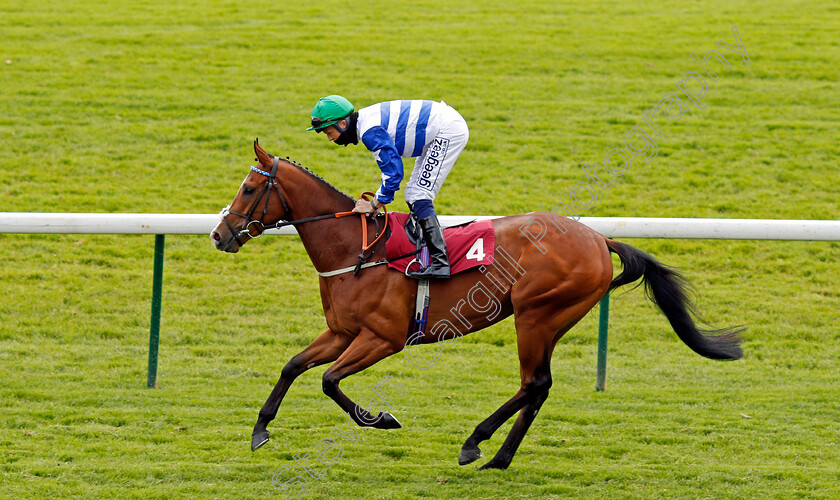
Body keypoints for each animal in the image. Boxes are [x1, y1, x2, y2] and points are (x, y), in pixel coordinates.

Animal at [210, 140, 740, 468]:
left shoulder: (382, 339)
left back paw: (474, 443)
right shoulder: (341, 331)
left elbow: (328, 380)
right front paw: (260, 430)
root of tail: (597, 238)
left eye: (250, 188)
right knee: (538, 386)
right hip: (551, 320)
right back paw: (500, 457)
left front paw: (381, 418)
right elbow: (293, 366)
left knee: (535, 383)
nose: (219, 234)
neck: (353, 250)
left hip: (537, 314)